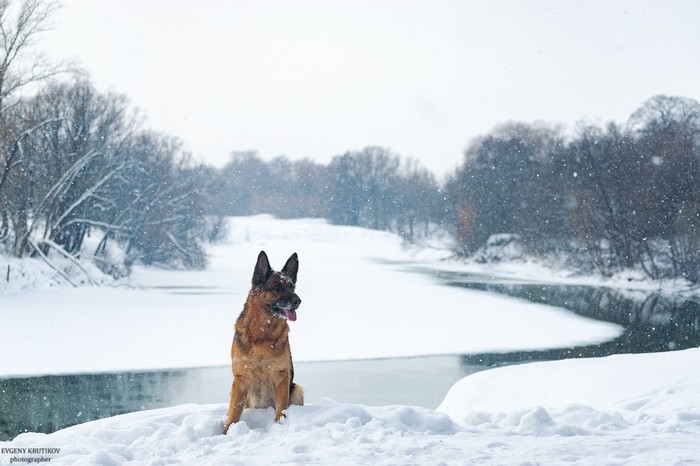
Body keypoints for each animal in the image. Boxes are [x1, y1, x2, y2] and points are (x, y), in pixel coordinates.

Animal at [223, 251, 302, 434]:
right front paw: (228, 433)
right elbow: (233, 413)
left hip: (297, 389)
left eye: (292, 287)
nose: (298, 301)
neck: (263, 334)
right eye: (277, 287)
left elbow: (281, 410)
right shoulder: (240, 381)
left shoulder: (281, 377)